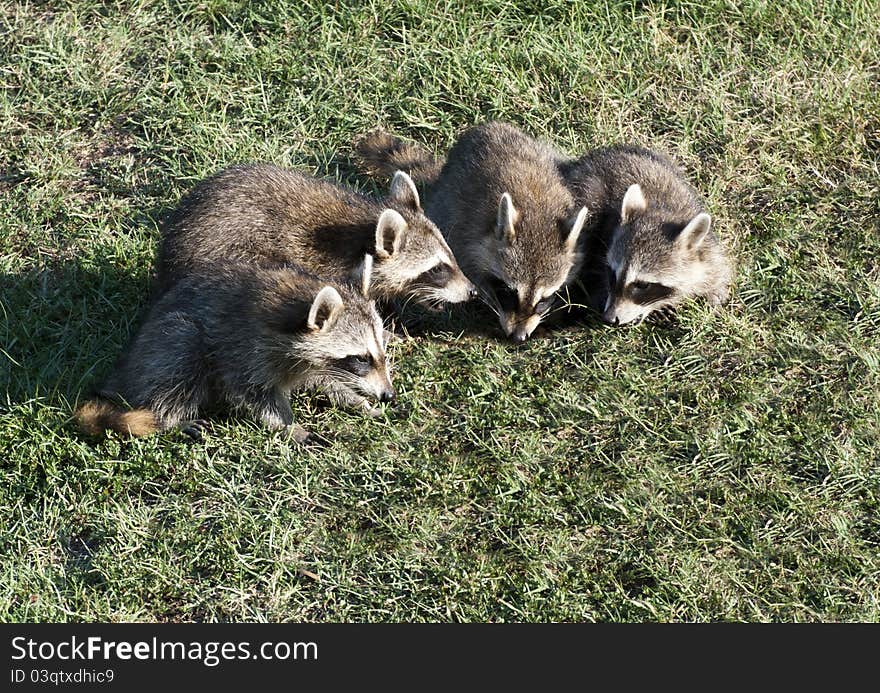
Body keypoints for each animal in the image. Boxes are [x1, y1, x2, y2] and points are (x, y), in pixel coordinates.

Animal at [75, 255, 392, 444]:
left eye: (381, 351)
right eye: (360, 358)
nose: (388, 394)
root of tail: (121, 372)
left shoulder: (312, 363)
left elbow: (326, 380)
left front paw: (358, 402)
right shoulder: (244, 348)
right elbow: (254, 393)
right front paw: (289, 426)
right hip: (164, 344)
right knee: (180, 356)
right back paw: (169, 419)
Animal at [560, 146, 732, 324]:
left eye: (643, 285)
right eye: (612, 274)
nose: (609, 319)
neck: (663, 211)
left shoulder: (708, 250)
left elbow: (716, 272)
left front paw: (714, 293)